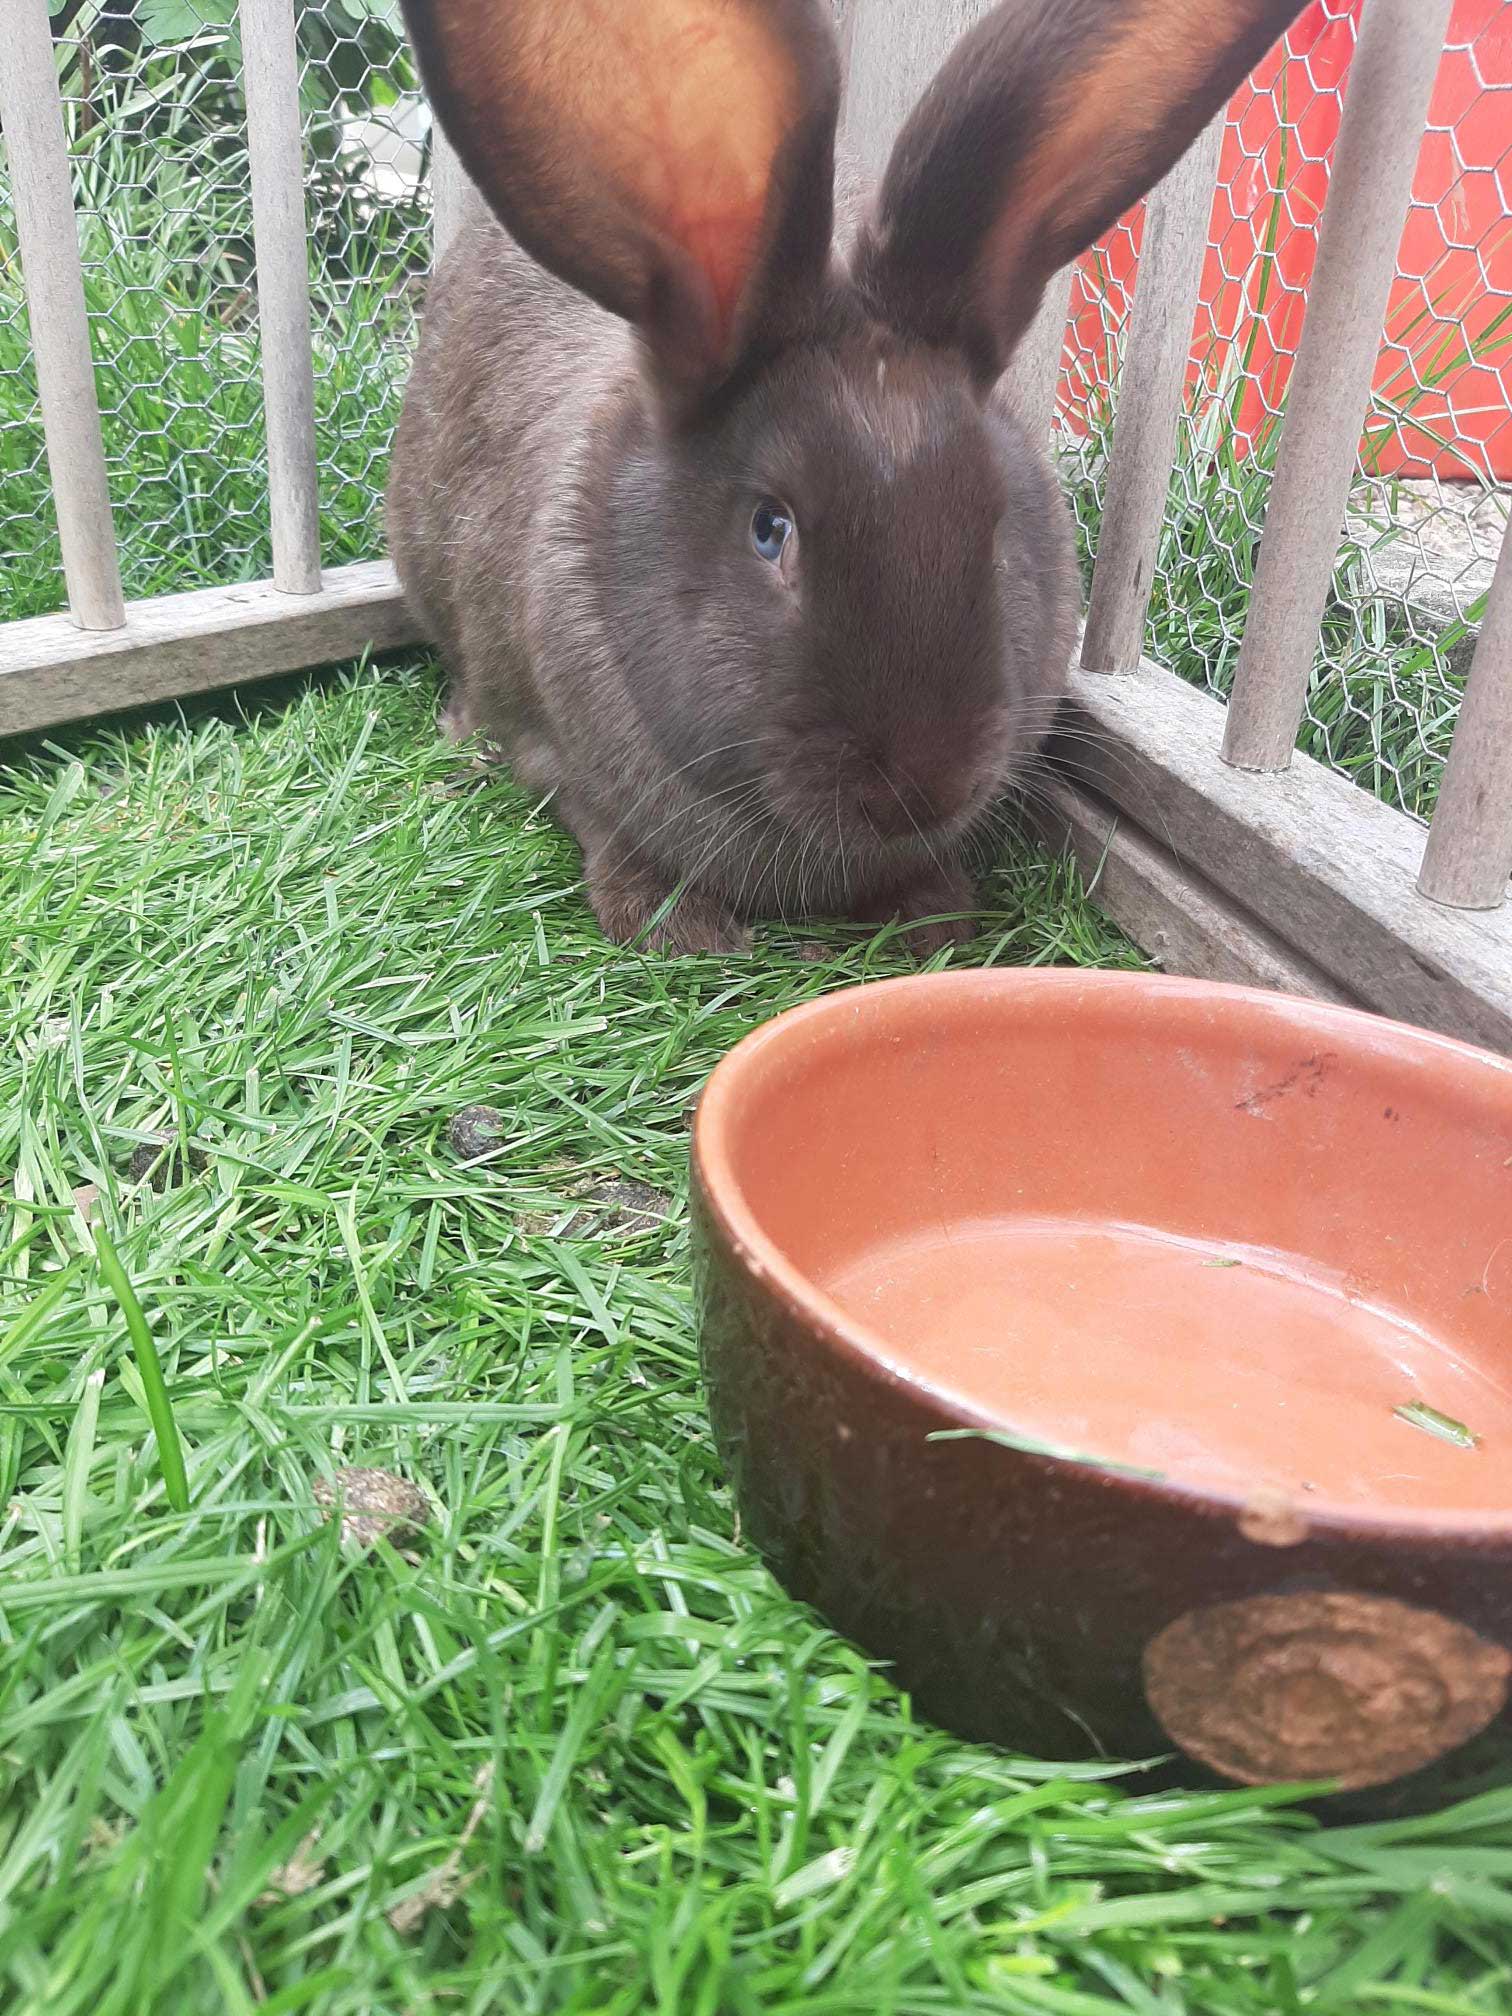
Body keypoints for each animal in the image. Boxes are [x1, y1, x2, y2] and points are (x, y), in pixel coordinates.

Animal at [391, 0, 1314, 955]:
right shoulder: (555, 751)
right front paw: (678, 928)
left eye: (993, 527)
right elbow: (596, 818)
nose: (925, 786)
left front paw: (932, 916)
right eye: (770, 529)